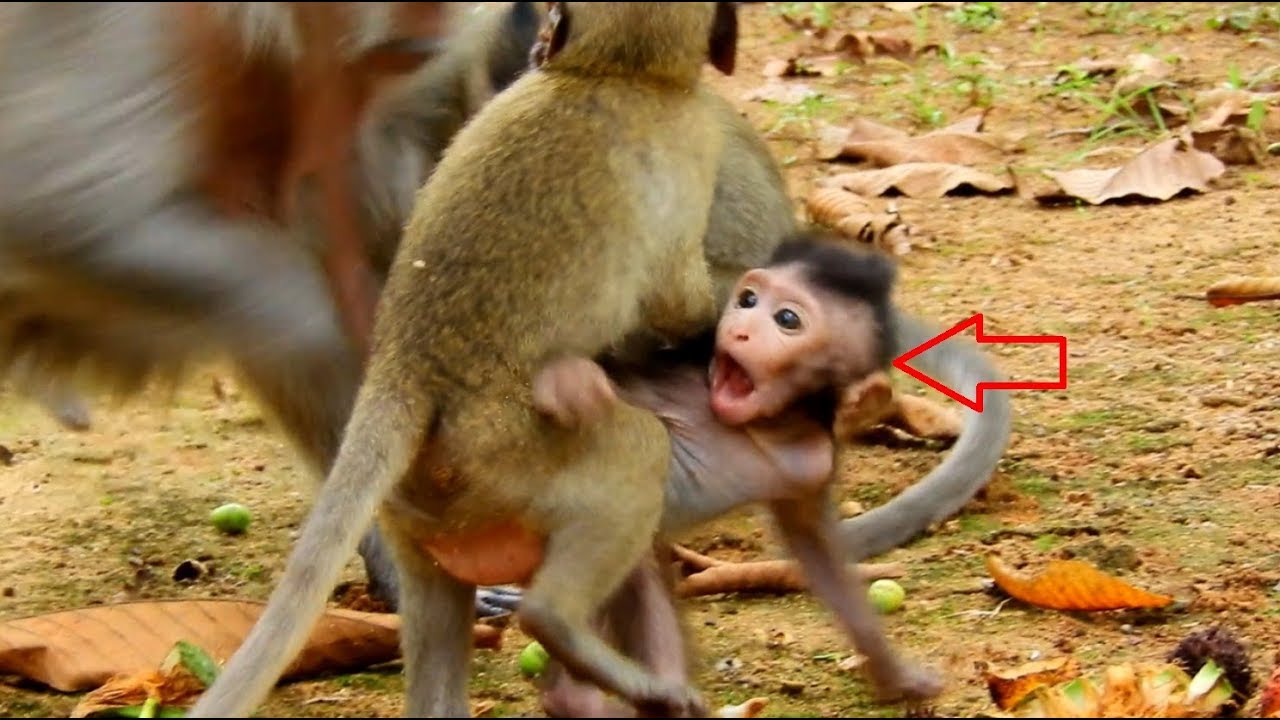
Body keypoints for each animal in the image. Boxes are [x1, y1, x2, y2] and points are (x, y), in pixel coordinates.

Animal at [186, 3, 740, 717]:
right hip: (501, 459)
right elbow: (676, 301)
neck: (610, 70)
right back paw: (564, 627)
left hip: (420, 509)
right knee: (636, 448)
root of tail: (401, 378)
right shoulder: (693, 140)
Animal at [529, 231, 946, 716]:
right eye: (747, 300)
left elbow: (815, 546)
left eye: (787, 319)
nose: (739, 327)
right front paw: (569, 384)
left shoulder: (812, 459)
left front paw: (893, 673)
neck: (760, 425)